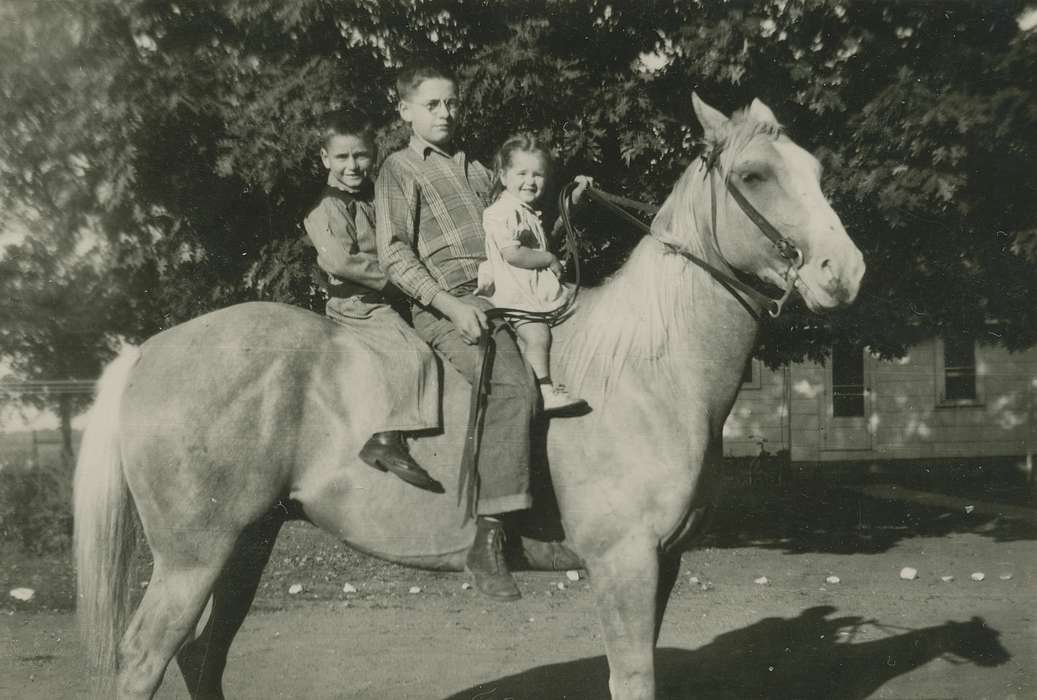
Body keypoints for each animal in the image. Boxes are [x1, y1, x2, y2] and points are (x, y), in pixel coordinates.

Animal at [75, 94, 866, 700]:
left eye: (815, 170)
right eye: (754, 175)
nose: (845, 272)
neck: (647, 367)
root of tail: (147, 352)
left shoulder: (663, 563)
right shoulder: (625, 561)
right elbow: (631, 680)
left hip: (244, 546)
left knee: (199, 657)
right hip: (192, 558)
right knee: (143, 660)